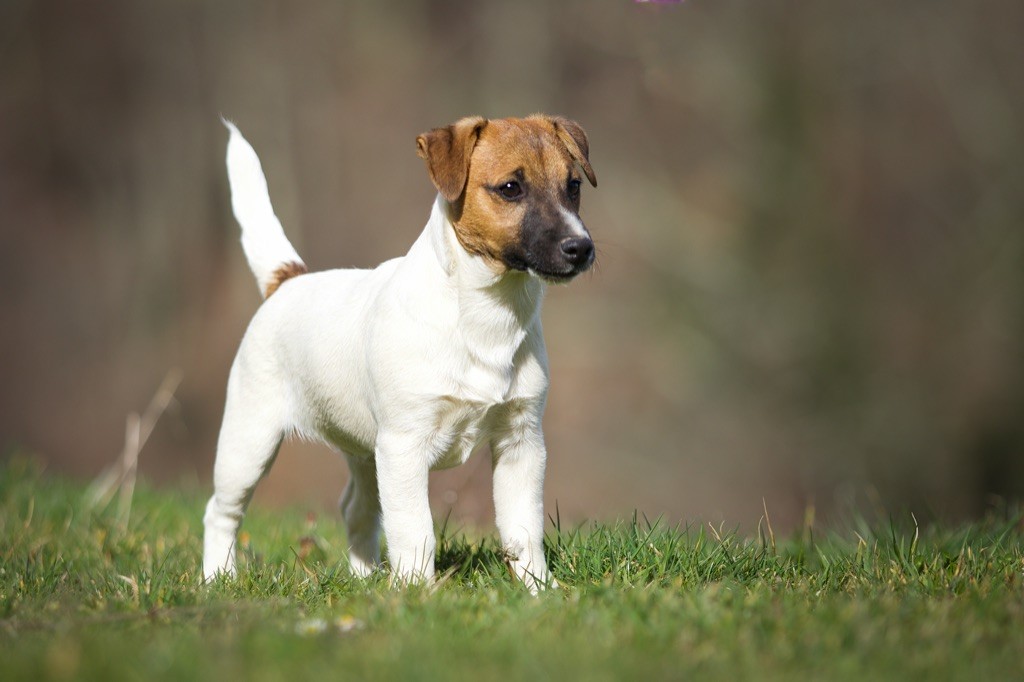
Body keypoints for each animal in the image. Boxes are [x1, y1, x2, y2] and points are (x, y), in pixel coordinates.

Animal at [200, 114, 598, 585]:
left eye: (573, 185)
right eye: (510, 188)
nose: (581, 248)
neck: (485, 317)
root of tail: (287, 282)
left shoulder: (521, 440)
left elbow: (523, 528)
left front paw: (537, 586)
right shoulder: (404, 446)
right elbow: (414, 529)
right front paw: (416, 590)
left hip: (365, 454)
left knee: (355, 510)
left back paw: (364, 578)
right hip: (249, 441)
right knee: (221, 511)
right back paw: (217, 577)